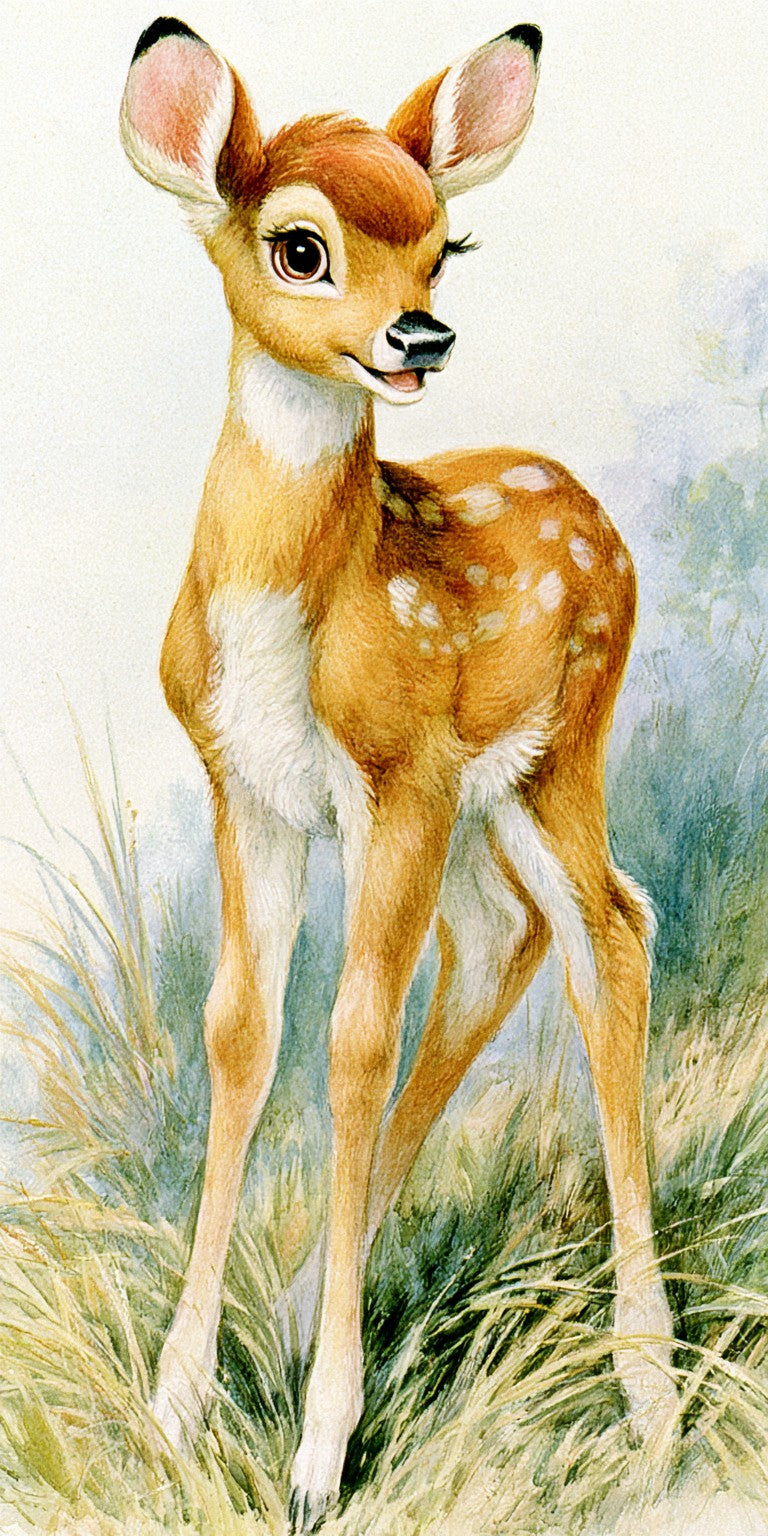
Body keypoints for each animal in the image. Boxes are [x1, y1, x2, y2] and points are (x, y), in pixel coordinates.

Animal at [119, 16, 677, 1530]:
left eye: (444, 245)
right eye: (299, 246)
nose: (419, 335)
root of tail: (597, 517)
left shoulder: (395, 775)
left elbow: (351, 1042)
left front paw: (320, 1455)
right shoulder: (250, 788)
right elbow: (241, 1033)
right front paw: (176, 1407)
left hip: (553, 754)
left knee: (610, 928)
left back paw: (651, 1391)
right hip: (485, 804)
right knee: (507, 938)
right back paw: (316, 1289)